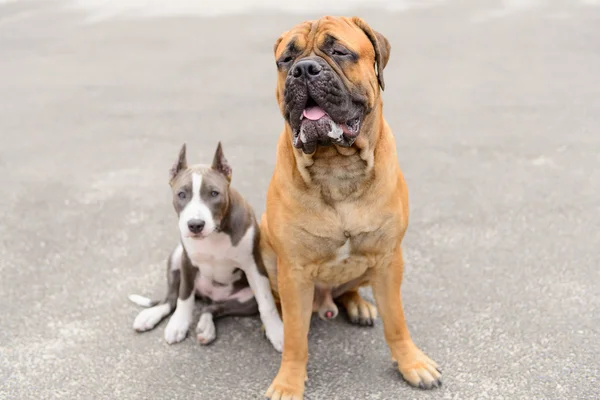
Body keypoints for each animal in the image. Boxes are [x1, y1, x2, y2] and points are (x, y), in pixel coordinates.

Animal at [129, 142, 284, 352]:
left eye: (214, 193)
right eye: (181, 194)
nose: (195, 225)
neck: (215, 233)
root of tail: (210, 296)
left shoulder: (254, 267)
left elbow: (267, 305)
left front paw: (277, 332)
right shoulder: (187, 263)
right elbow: (184, 298)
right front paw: (178, 325)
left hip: (246, 299)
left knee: (214, 308)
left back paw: (206, 327)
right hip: (176, 255)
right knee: (171, 299)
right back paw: (151, 316)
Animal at [260, 16, 442, 400]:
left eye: (340, 51)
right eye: (286, 59)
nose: (304, 69)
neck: (335, 166)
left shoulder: (388, 260)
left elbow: (396, 320)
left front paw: (411, 363)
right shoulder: (294, 270)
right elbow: (296, 338)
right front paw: (288, 382)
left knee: (351, 289)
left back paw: (359, 304)